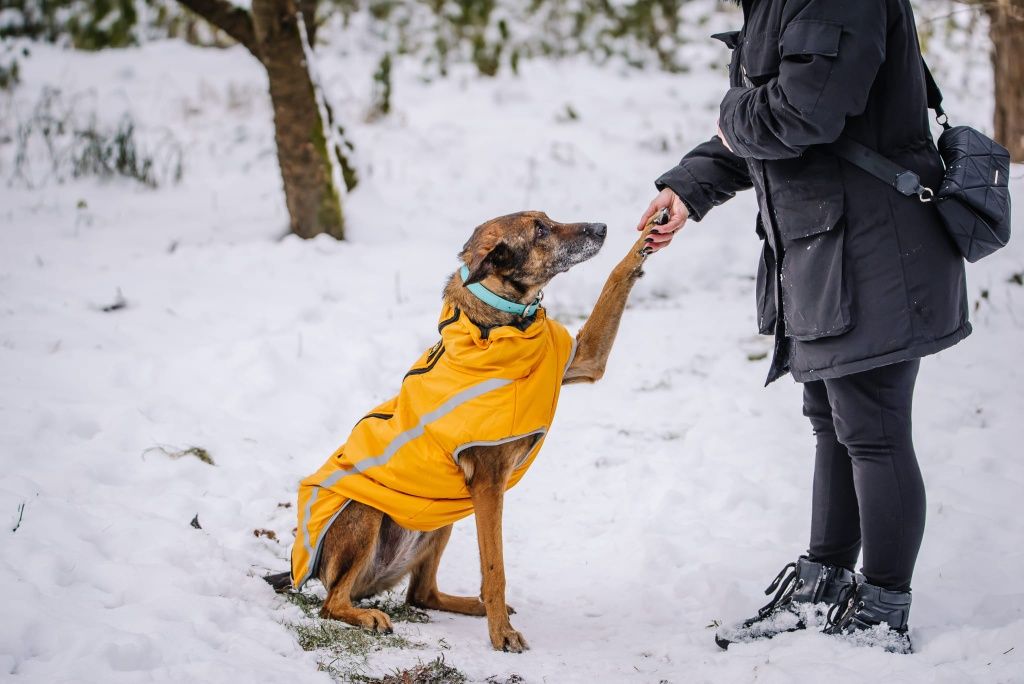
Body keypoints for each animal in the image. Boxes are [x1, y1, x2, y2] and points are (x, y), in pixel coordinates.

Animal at [268, 208, 659, 651]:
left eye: (547, 217)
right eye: (540, 230)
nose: (601, 228)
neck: (501, 326)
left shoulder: (586, 358)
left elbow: (615, 276)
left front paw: (651, 233)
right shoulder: (488, 485)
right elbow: (495, 567)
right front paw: (501, 635)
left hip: (441, 514)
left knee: (420, 594)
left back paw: (469, 604)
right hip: (367, 512)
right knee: (332, 603)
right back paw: (368, 616)